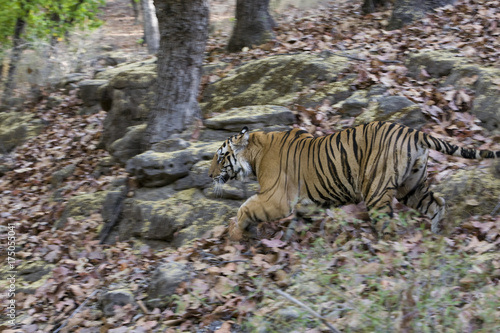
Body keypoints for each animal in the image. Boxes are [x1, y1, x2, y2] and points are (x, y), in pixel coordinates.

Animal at [208, 120, 500, 240]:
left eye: (220, 157)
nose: (209, 176)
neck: (255, 153)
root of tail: (413, 131)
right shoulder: (307, 203)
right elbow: (298, 221)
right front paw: (289, 241)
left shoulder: (275, 197)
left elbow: (245, 208)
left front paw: (236, 232)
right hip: (411, 187)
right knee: (437, 202)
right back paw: (437, 234)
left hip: (377, 190)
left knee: (388, 226)